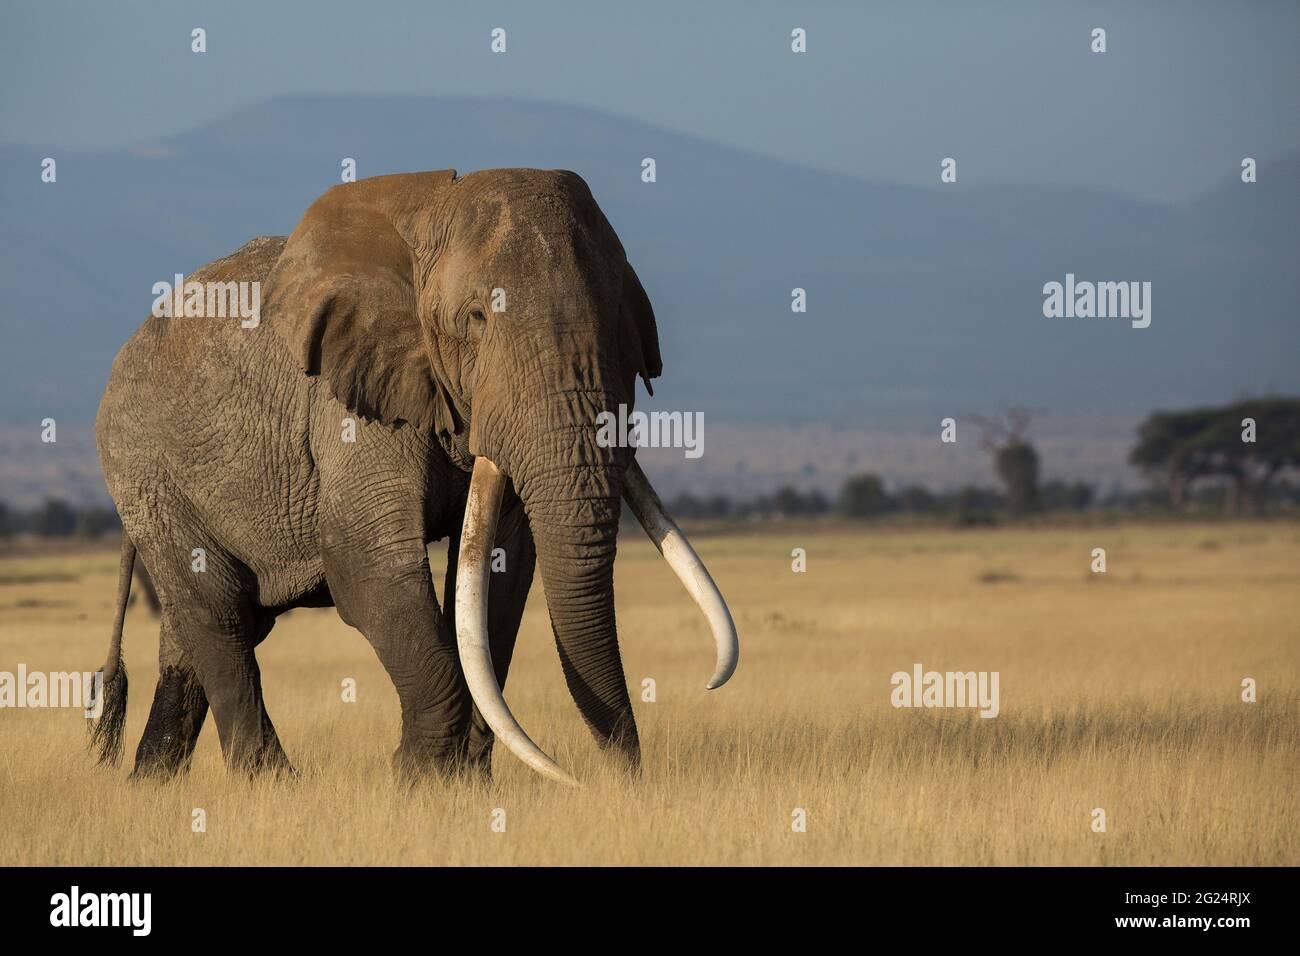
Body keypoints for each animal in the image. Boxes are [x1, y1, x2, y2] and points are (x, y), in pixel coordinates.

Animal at [90, 170, 738, 785]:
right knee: (219, 616)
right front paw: (417, 779)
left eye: (622, 318)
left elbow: (499, 573)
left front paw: (465, 785)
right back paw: (270, 785)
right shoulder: (350, 399)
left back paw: (150, 785)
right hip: (143, 469)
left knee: (201, 631)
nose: (613, 780)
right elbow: (364, 559)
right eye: (475, 319)